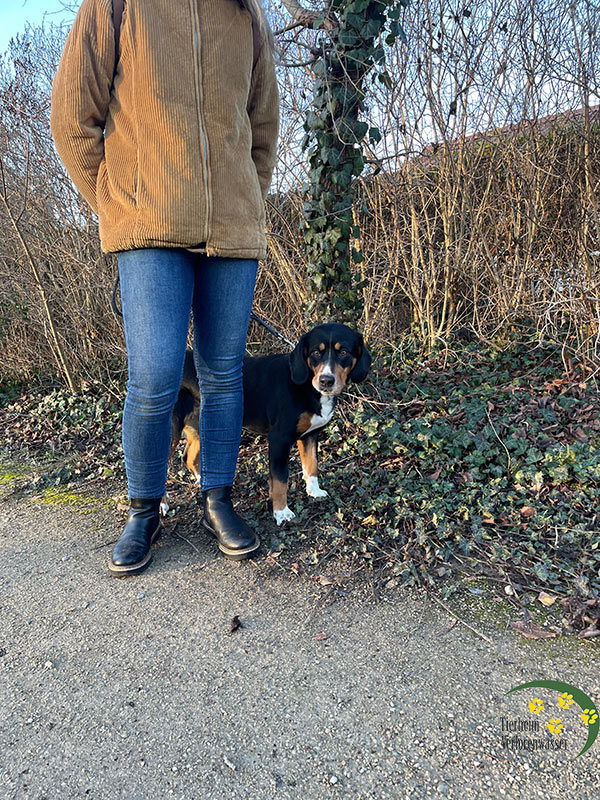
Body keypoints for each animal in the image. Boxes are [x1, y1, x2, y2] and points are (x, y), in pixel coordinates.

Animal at [169, 322, 372, 525]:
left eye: (343, 352)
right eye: (315, 352)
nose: (326, 381)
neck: (306, 385)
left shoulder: (310, 435)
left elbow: (312, 465)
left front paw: (314, 491)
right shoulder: (279, 440)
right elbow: (280, 480)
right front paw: (281, 512)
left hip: (201, 425)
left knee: (188, 457)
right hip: (171, 431)